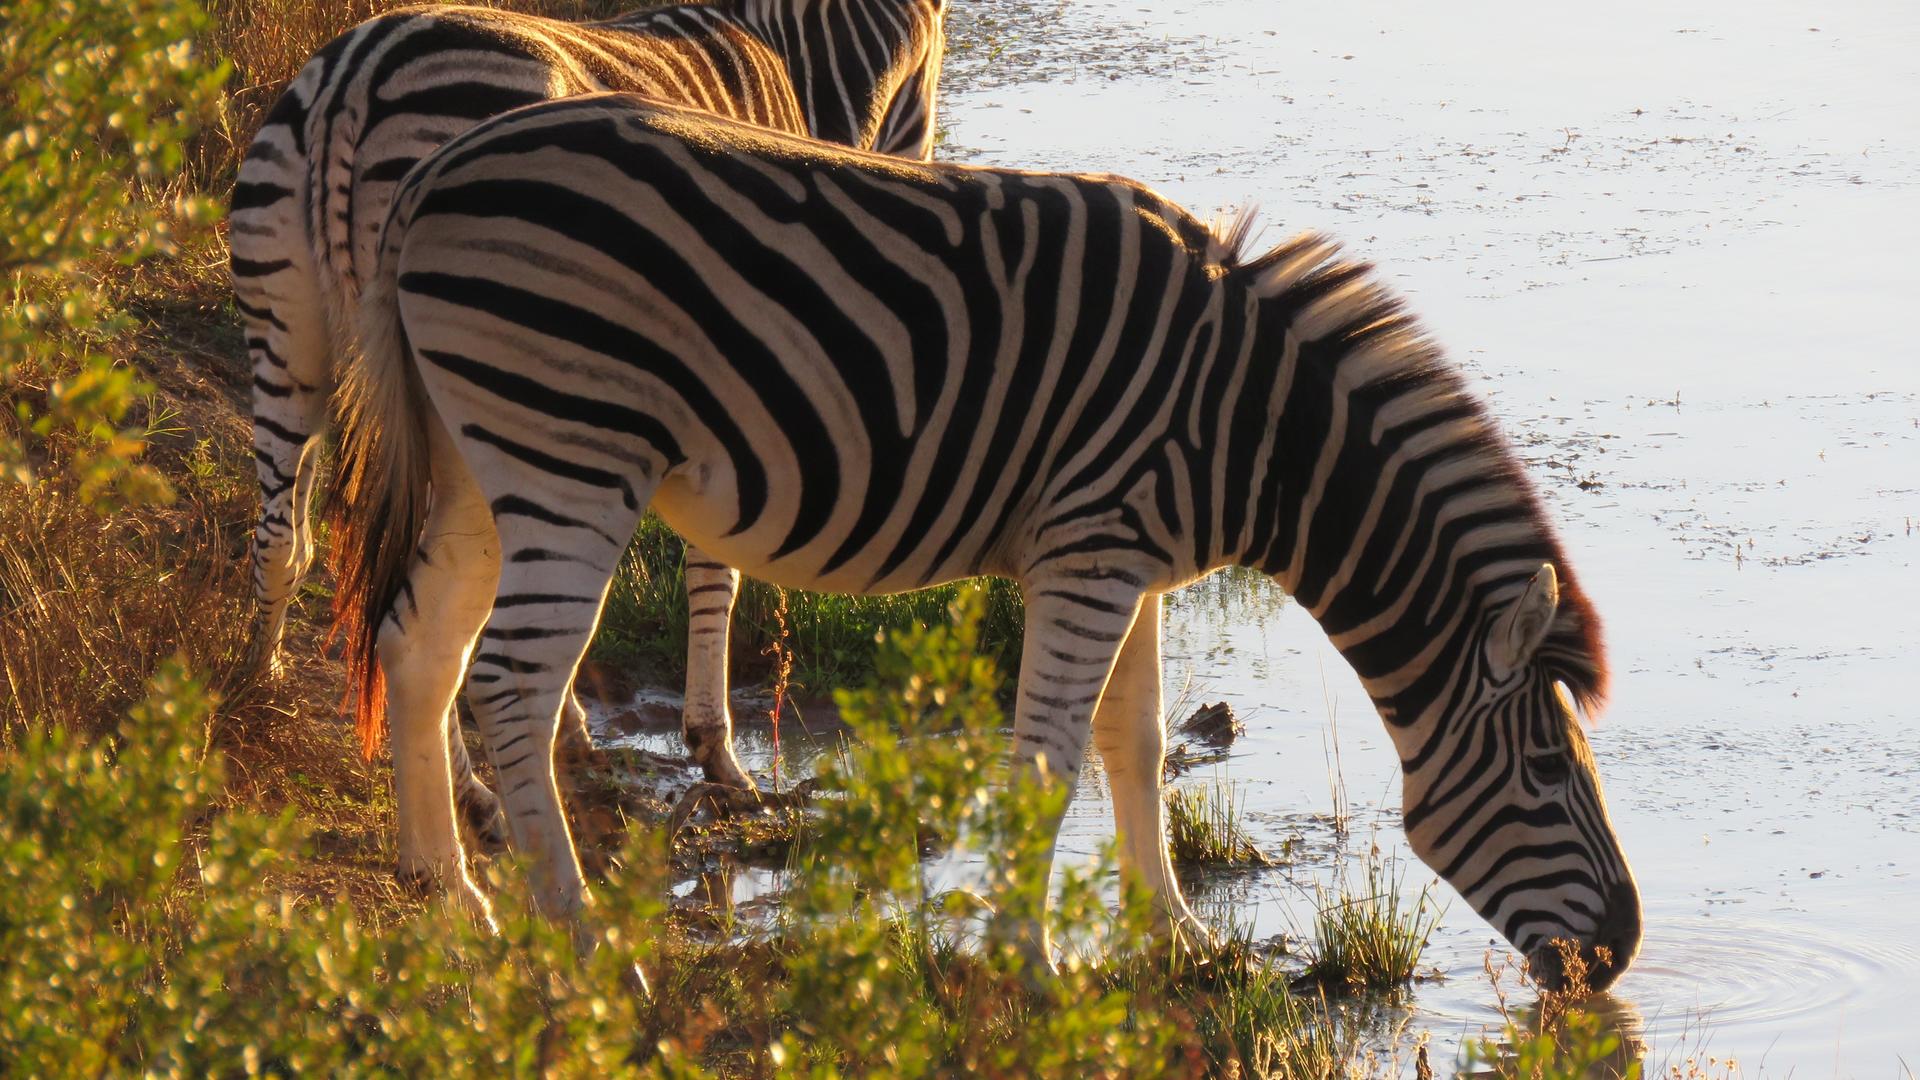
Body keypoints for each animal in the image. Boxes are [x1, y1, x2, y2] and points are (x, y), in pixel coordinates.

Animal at [231, 0, 948, 829]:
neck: (791, 63)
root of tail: (358, 73)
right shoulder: (729, 393)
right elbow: (714, 573)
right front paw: (716, 753)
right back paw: (475, 795)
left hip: (290, 340)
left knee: (282, 539)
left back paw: (259, 687)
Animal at [327, 93, 1642, 990]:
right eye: (1547, 771)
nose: (1625, 950)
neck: (1263, 430)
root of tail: (439, 168)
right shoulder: (1094, 548)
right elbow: (1053, 764)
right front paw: (1031, 961)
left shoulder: (1126, 561)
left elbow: (1134, 745)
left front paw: (1182, 936)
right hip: (571, 450)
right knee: (508, 681)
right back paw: (589, 943)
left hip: (477, 460)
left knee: (420, 644)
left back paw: (447, 892)